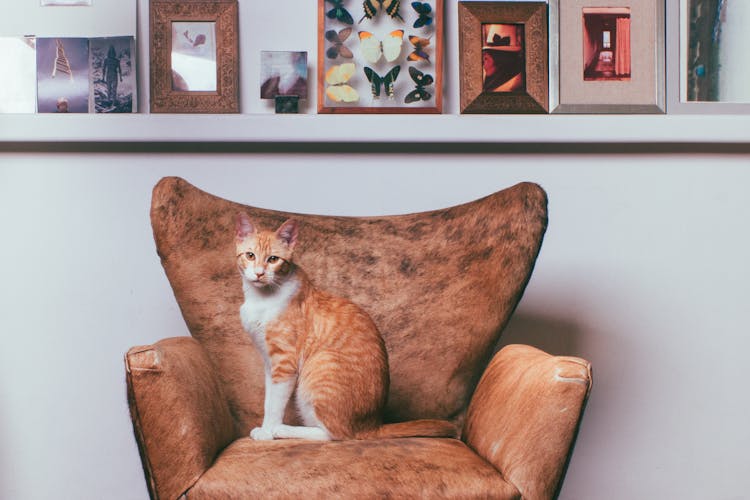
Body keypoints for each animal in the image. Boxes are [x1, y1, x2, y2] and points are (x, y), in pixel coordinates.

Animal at [236, 213, 458, 440]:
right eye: (250, 255)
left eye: (273, 259)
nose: (259, 273)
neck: (261, 299)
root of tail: (372, 424)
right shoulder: (269, 363)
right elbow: (268, 400)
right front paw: (265, 428)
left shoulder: (284, 362)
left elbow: (275, 404)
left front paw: (268, 432)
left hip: (320, 363)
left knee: (335, 435)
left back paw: (284, 430)